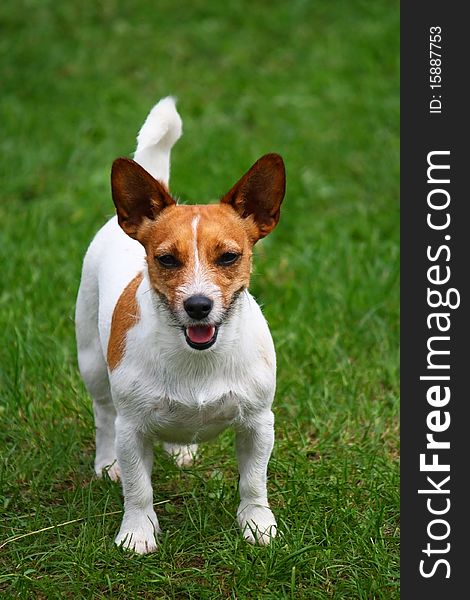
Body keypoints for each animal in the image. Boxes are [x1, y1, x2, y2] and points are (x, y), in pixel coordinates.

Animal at [75, 97, 284, 552]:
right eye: (167, 259)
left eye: (229, 256)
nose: (199, 306)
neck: (197, 359)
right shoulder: (132, 428)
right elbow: (138, 488)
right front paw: (137, 532)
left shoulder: (259, 423)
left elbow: (253, 483)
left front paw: (257, 524)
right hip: (93, 365)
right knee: (103, 416)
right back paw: (107, 463)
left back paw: (180, 448)